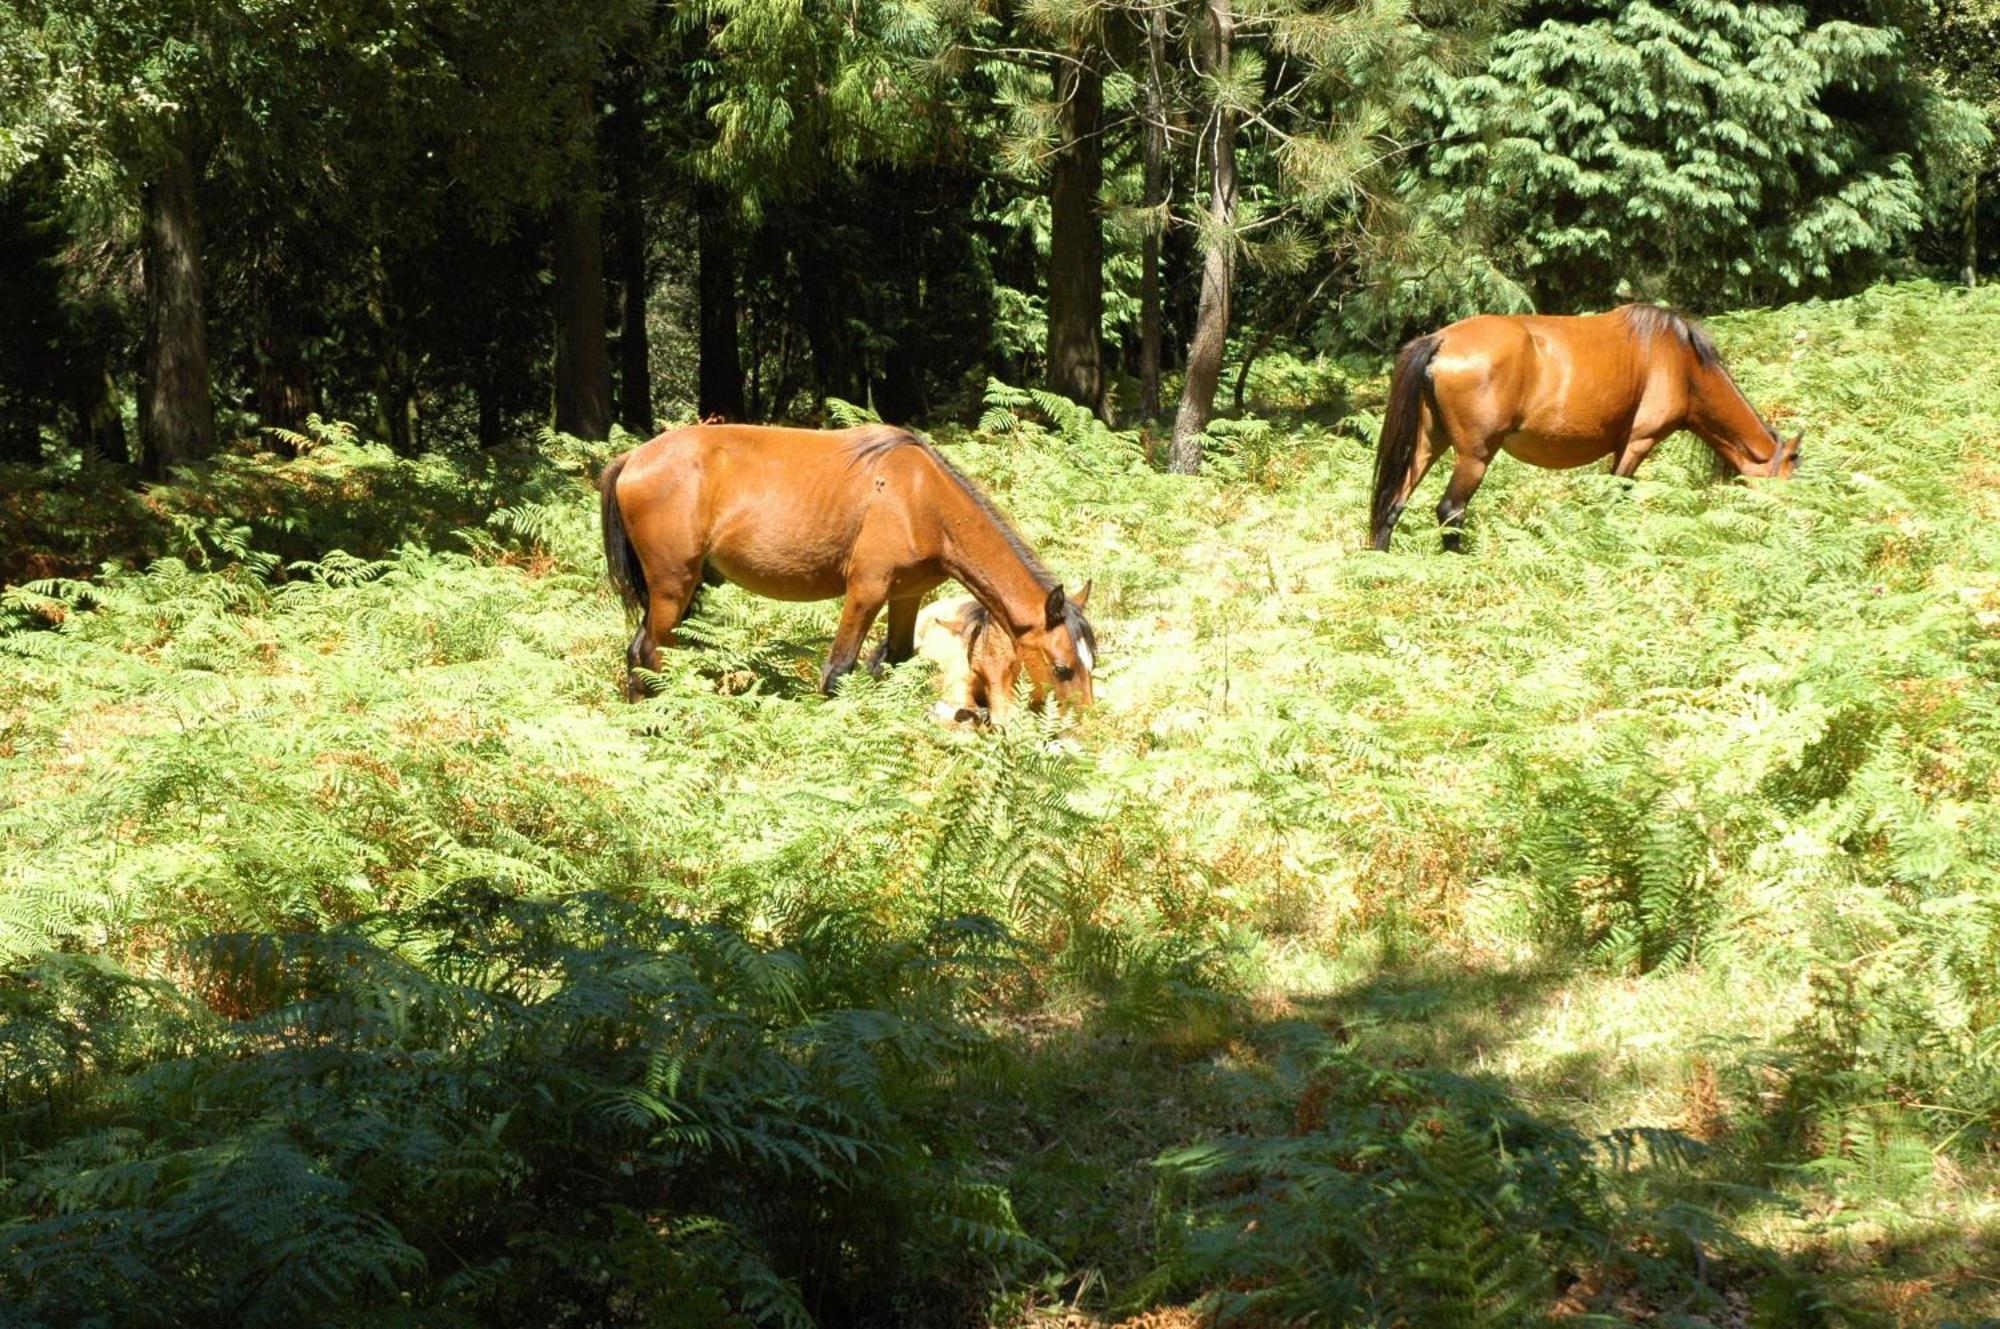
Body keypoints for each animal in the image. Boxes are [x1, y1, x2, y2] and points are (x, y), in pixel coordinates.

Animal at [596, 426, 1096, 704]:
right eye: (1062, 668)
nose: (1081, 729)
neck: (922, 501)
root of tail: (631, 459)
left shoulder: (906, 595)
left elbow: (896, 662)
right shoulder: (866, 591)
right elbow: (838, 671)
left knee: (641, 651)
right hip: (672, 587)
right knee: (648, 654)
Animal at [1368, 302, 1808, 548]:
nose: (1794, 529)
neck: (1683, 363)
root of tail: (1441, 339)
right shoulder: (1638, 442)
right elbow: (1617, 498)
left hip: (1429, 443)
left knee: (1393, 502)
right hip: (1475, 456)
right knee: (1451, 511)